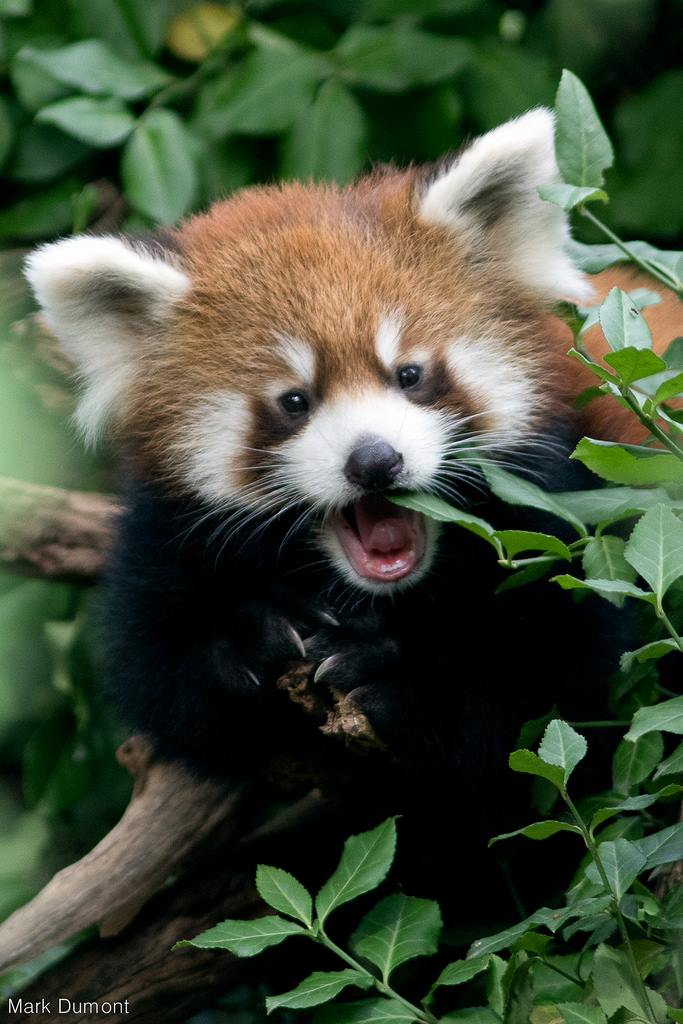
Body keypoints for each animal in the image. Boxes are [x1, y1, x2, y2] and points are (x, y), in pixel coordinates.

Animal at [26, 110, 631, 820]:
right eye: (294, 401)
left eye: (410, 374)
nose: (375, 461)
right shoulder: (165, 533)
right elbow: (158, 674)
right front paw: (249, 636)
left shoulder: (568, 507)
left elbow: (563, 699)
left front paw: (393, 673)